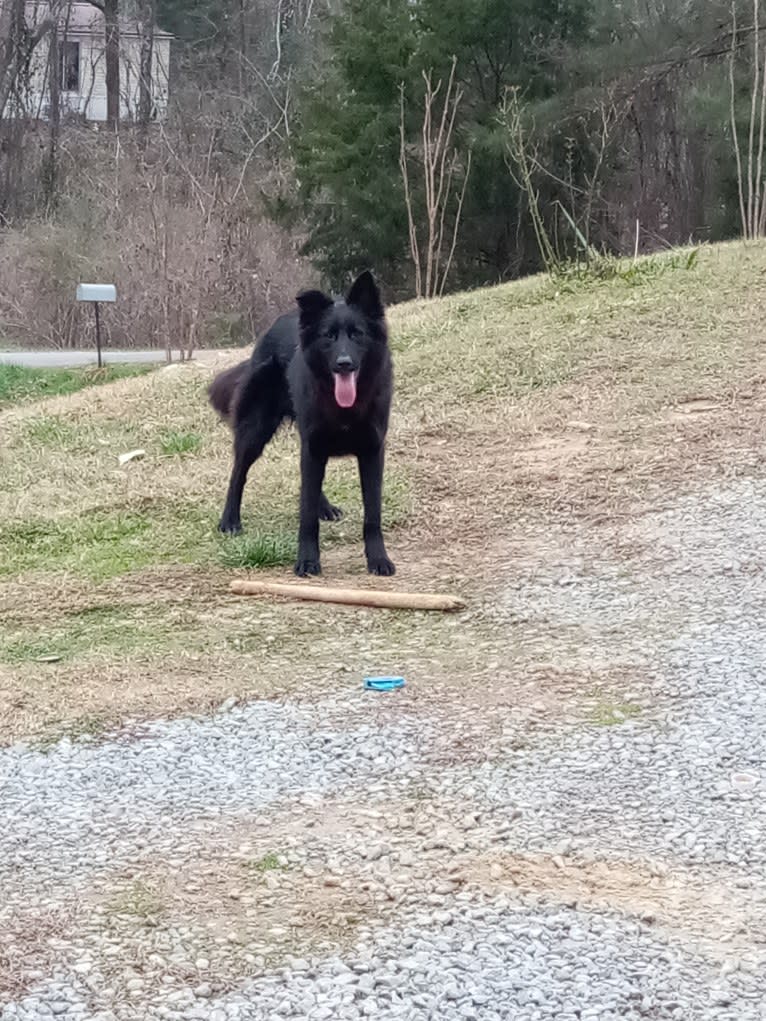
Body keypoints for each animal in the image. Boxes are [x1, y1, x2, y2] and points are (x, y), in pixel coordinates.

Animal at [210, 269, 396, 575]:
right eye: (328, 336)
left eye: (357, 334)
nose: (344, 363)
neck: (342, 406)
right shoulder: (313, 446)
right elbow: (306, 515)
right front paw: (307, 560)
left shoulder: (370, 451)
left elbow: (372, 513)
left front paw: (379, 559)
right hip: (256, 430)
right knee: (238, 473)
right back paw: (230, 520)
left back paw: (325, 507)